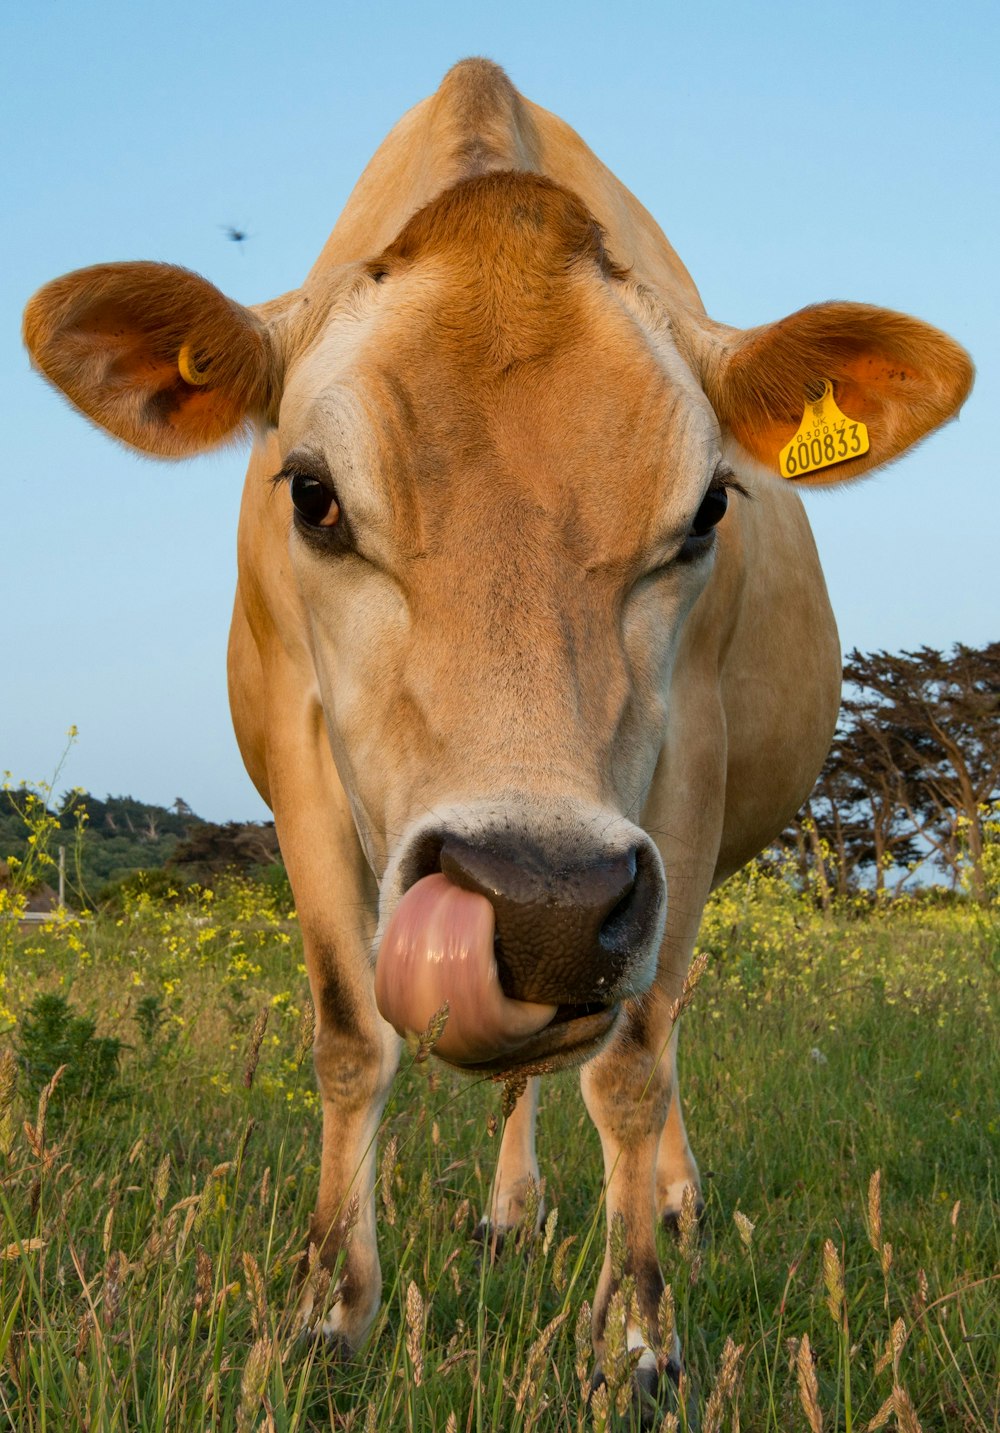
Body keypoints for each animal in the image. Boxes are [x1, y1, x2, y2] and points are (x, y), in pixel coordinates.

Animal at [23, 61, 968, 1415]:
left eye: (706, 510)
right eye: (312, 492)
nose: (545, 905)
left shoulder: (685, 776)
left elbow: (630, 1066)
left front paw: (636, 1340)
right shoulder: (293, 747)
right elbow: (350, 1036)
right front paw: (328, 1313)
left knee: (659, 1023)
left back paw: (670, 1198)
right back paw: (510, 1208)